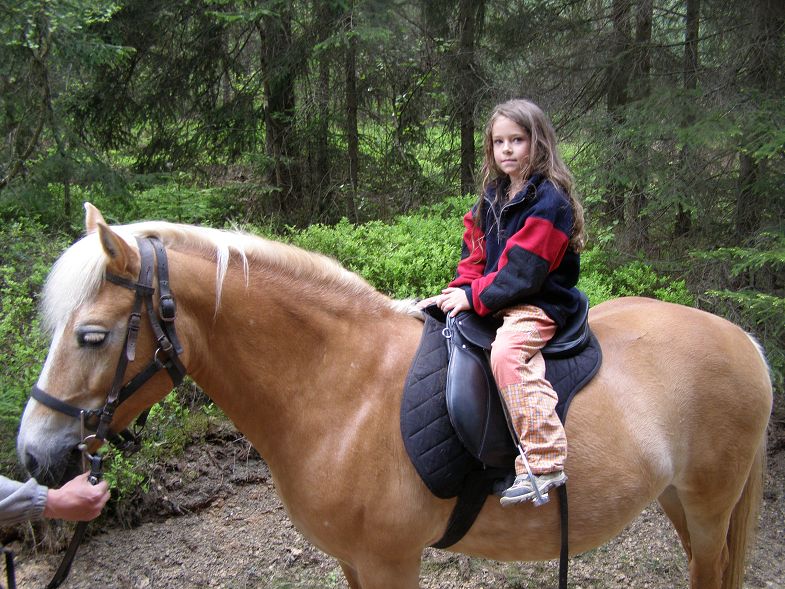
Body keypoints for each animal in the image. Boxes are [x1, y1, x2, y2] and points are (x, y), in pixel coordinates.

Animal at [16, 204, 772, 589]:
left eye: (90, 335)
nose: (32, 452)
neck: (339, 388)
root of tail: (744, 339)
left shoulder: (388, 560)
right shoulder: (354, 562)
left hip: (709, 507)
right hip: (677, 500)